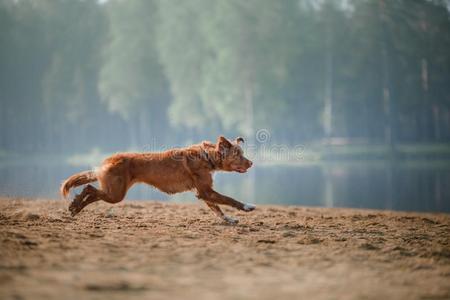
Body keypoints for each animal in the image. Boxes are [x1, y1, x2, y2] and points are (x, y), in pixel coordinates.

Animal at [61, 136, 255, 223]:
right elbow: (229, 199)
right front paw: (247, 207)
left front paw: (229, 220)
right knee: (90, 189)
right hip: (116, 194)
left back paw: (75, 208)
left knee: (91, 192)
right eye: (238, 155)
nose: (251, 163)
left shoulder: (203, 192)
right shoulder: (206, 191)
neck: (207, 156)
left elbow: (217, 208)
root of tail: (106, 161)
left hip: (113, 192)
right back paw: (75, 205)